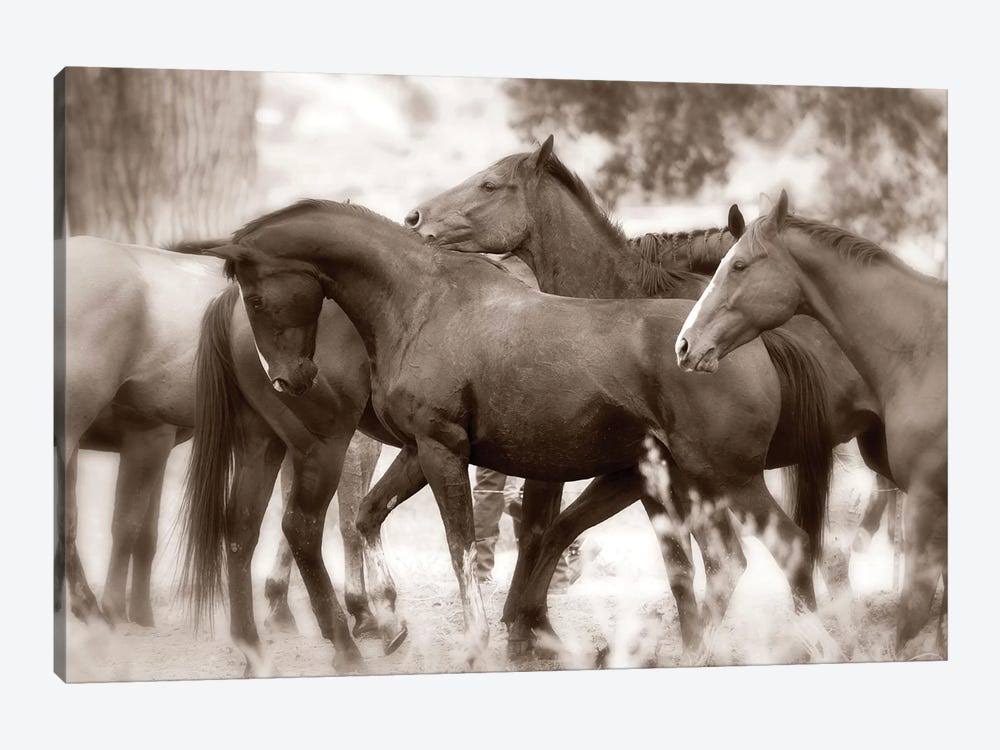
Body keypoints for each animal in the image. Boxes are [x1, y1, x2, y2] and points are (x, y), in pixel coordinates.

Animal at [168, 198, 832, 664]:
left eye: (256, 293)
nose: (290, 378)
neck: (421, 302)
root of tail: (740, 347)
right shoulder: (424, 450)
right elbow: (371, 517)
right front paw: (397, 621)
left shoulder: (440, 451)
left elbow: (459, 543)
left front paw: (477, 639)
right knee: (257, 530)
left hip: (726, 478)